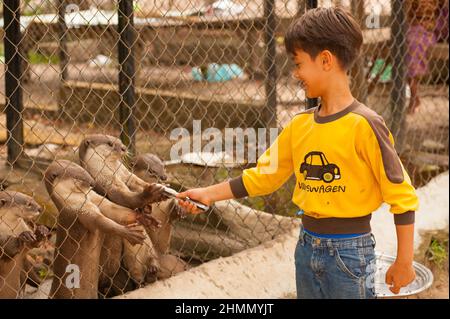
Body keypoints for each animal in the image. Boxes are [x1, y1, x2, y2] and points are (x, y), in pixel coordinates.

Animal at [44, 161, 156, 298]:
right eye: (78, 178)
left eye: (84, 172)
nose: (92, 182)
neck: (74, 200)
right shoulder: (79, 211)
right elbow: (101, 221)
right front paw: (129, 233)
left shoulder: (94, 199)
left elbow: (114, 209)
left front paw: (145, 215)